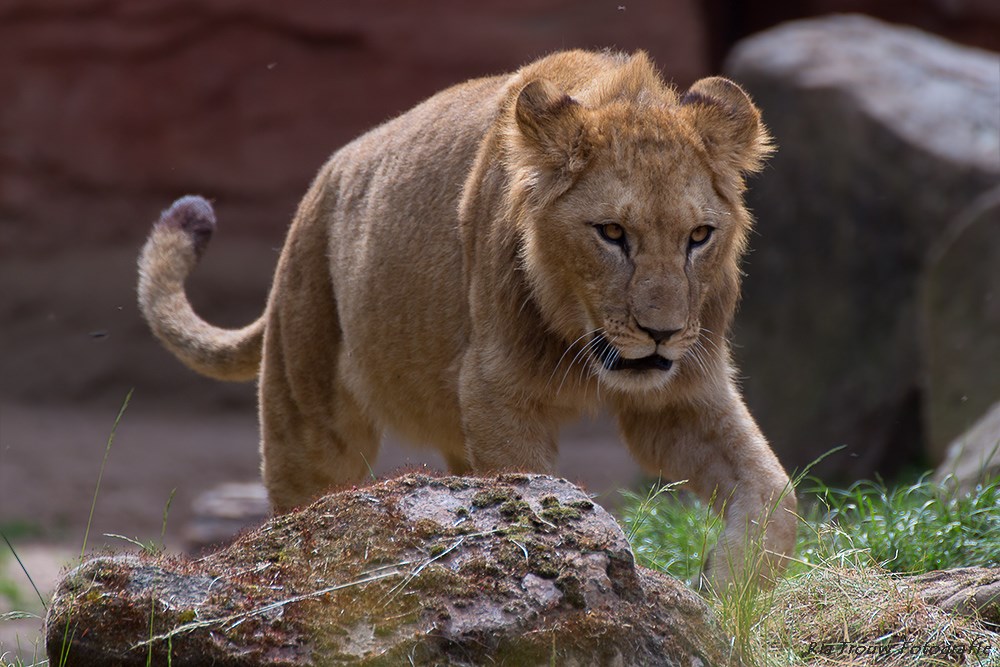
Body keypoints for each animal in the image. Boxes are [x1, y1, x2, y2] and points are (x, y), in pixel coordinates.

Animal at [139, 49, 796, 588]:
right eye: (612, 233)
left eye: (699, 236)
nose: (662, 333)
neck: (580, 341)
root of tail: (322, 184)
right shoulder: (496, 391)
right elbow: (536, 499)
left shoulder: (680, 396)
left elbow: (777, 497)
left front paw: (726, 591)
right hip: (305, 407)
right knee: (302, 497)